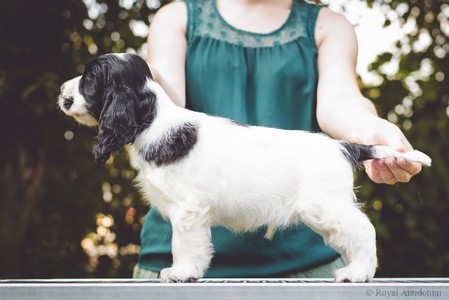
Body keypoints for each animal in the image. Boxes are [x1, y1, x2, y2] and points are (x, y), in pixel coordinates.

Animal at [57, 53, 428, 284]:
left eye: (90, 79)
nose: (61, 91)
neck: (155, 121)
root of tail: (344, 146)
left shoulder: (188, 210)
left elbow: (184, 245)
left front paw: (181, 271)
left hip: (325, 205)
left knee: (363, 231)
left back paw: (357, 272)